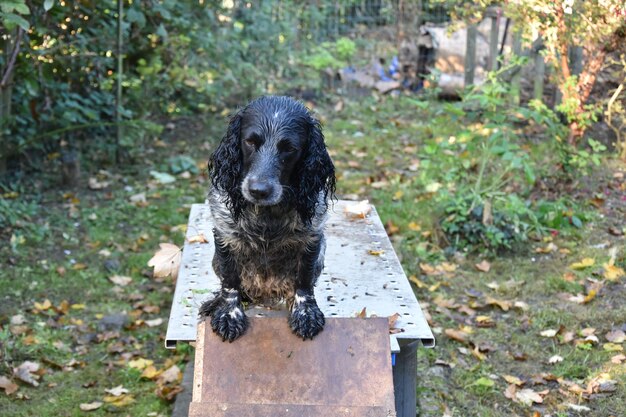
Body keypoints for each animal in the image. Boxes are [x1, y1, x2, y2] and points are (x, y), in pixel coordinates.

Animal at [200, 96, 336, 342]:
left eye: (289, 149)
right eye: (250, 142)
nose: (258, 190)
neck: (266, 215)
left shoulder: (312, 238)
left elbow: (304, 282)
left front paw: (305, 312)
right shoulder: (225, 235)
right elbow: (230, 283)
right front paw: (228, 314)